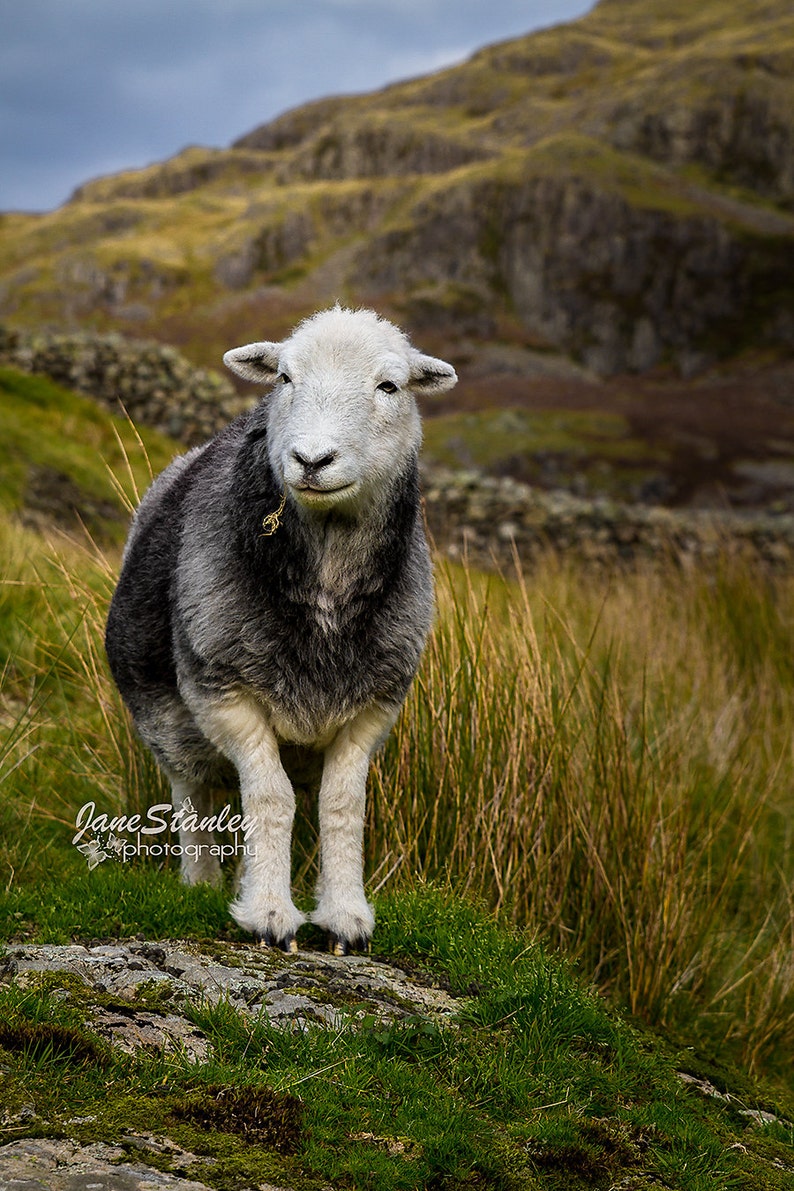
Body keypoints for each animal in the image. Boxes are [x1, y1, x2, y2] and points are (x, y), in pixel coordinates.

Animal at [104, 306, 457, 954]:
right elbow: (271, 796)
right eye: (285, 378)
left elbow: (342, 804)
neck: (326, 592)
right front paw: (268, 913)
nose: (312, 460)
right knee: (193, 792)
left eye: (389, 386)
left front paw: (345, 917)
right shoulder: (223, 689)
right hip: (169, 722)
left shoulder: (374, 706)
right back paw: (201, 882)